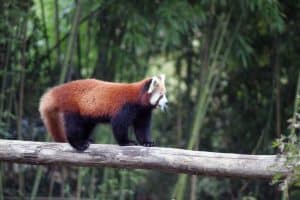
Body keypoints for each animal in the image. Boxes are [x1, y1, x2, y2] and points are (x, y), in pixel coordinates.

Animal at [38, 75, 168, 152]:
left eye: (164, 94)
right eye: (161, 96)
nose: (167, 102)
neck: (138, 98)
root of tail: (62, 89)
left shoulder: (143, 111)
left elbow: (142, 128)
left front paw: (147, 142)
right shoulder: (125, 107)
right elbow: (119, 125)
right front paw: (126, 142)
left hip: (87, 112)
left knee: (87, 125)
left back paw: (86, 139)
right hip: (73, 107)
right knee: (73, 127)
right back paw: (78, 144)